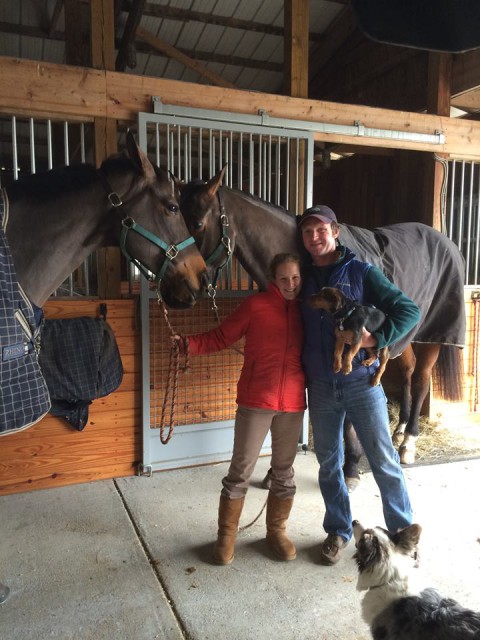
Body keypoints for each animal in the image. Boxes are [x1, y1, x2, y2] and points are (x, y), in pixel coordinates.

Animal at [176, 168, 464, 472]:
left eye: (197, 223)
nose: (180, 288)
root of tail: (448, 243)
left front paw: (351, 465)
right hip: (399, 333)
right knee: (406, 370)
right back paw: (398, 430)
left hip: (433, 336)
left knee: (421, 379)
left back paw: (408, 442)